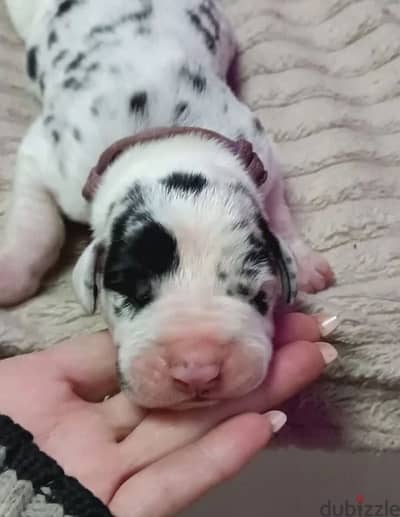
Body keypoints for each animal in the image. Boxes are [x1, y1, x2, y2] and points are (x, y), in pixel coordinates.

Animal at [1, 0, 332, 410]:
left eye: (259, 294)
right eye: (129, 290)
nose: (198, 370)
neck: (164, 139)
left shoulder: (261, 153)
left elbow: (279, 209)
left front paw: (305, 261)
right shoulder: (44, 154)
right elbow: (37, 225)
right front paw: (9, 270)